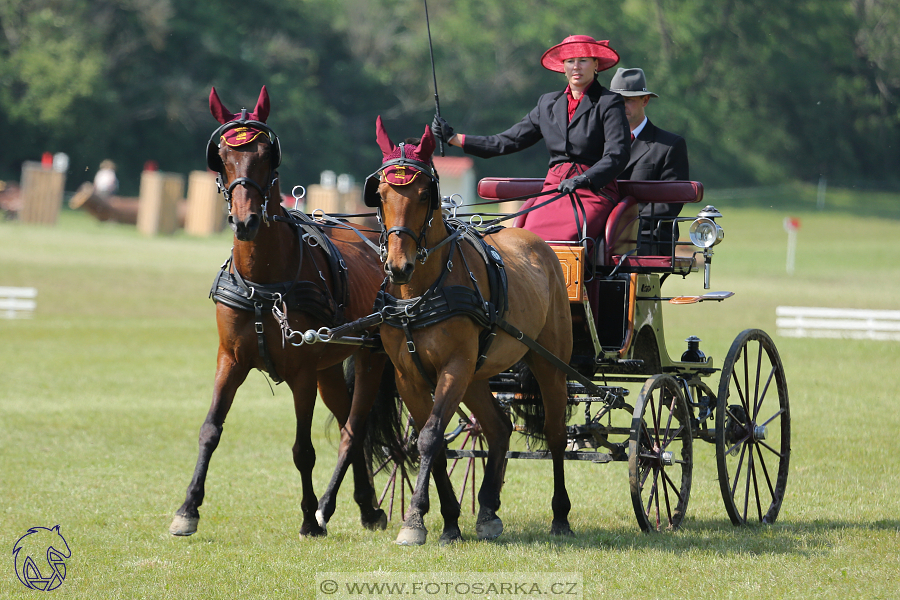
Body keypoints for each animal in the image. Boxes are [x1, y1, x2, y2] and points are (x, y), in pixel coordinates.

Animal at [168, 85, 394, 540]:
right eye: (222, 155)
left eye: (266, 154)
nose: (246, 221)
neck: (263, 286)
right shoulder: (230, 360)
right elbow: (210, 430)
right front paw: (188, 508)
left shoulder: (302, 373)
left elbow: (303, 450)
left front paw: (308, 517)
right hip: (330, 368)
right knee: (349, 424)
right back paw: (366, 506)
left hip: (370, 357)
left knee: (355, 427)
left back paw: (337, 508)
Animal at [320, 117, 572, 544]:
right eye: (381, 195)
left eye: (425, 195)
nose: (399, 266)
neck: (417, 294)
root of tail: (541, 246)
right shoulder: (409, 375)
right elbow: (430, 441)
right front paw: (448, 519)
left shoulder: (453, 366)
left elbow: (431, 435)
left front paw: (415, 519)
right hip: (478, 373)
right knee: (498, 427)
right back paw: (487, 509)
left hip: (548, 363)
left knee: (556, 433)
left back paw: (560, 515)